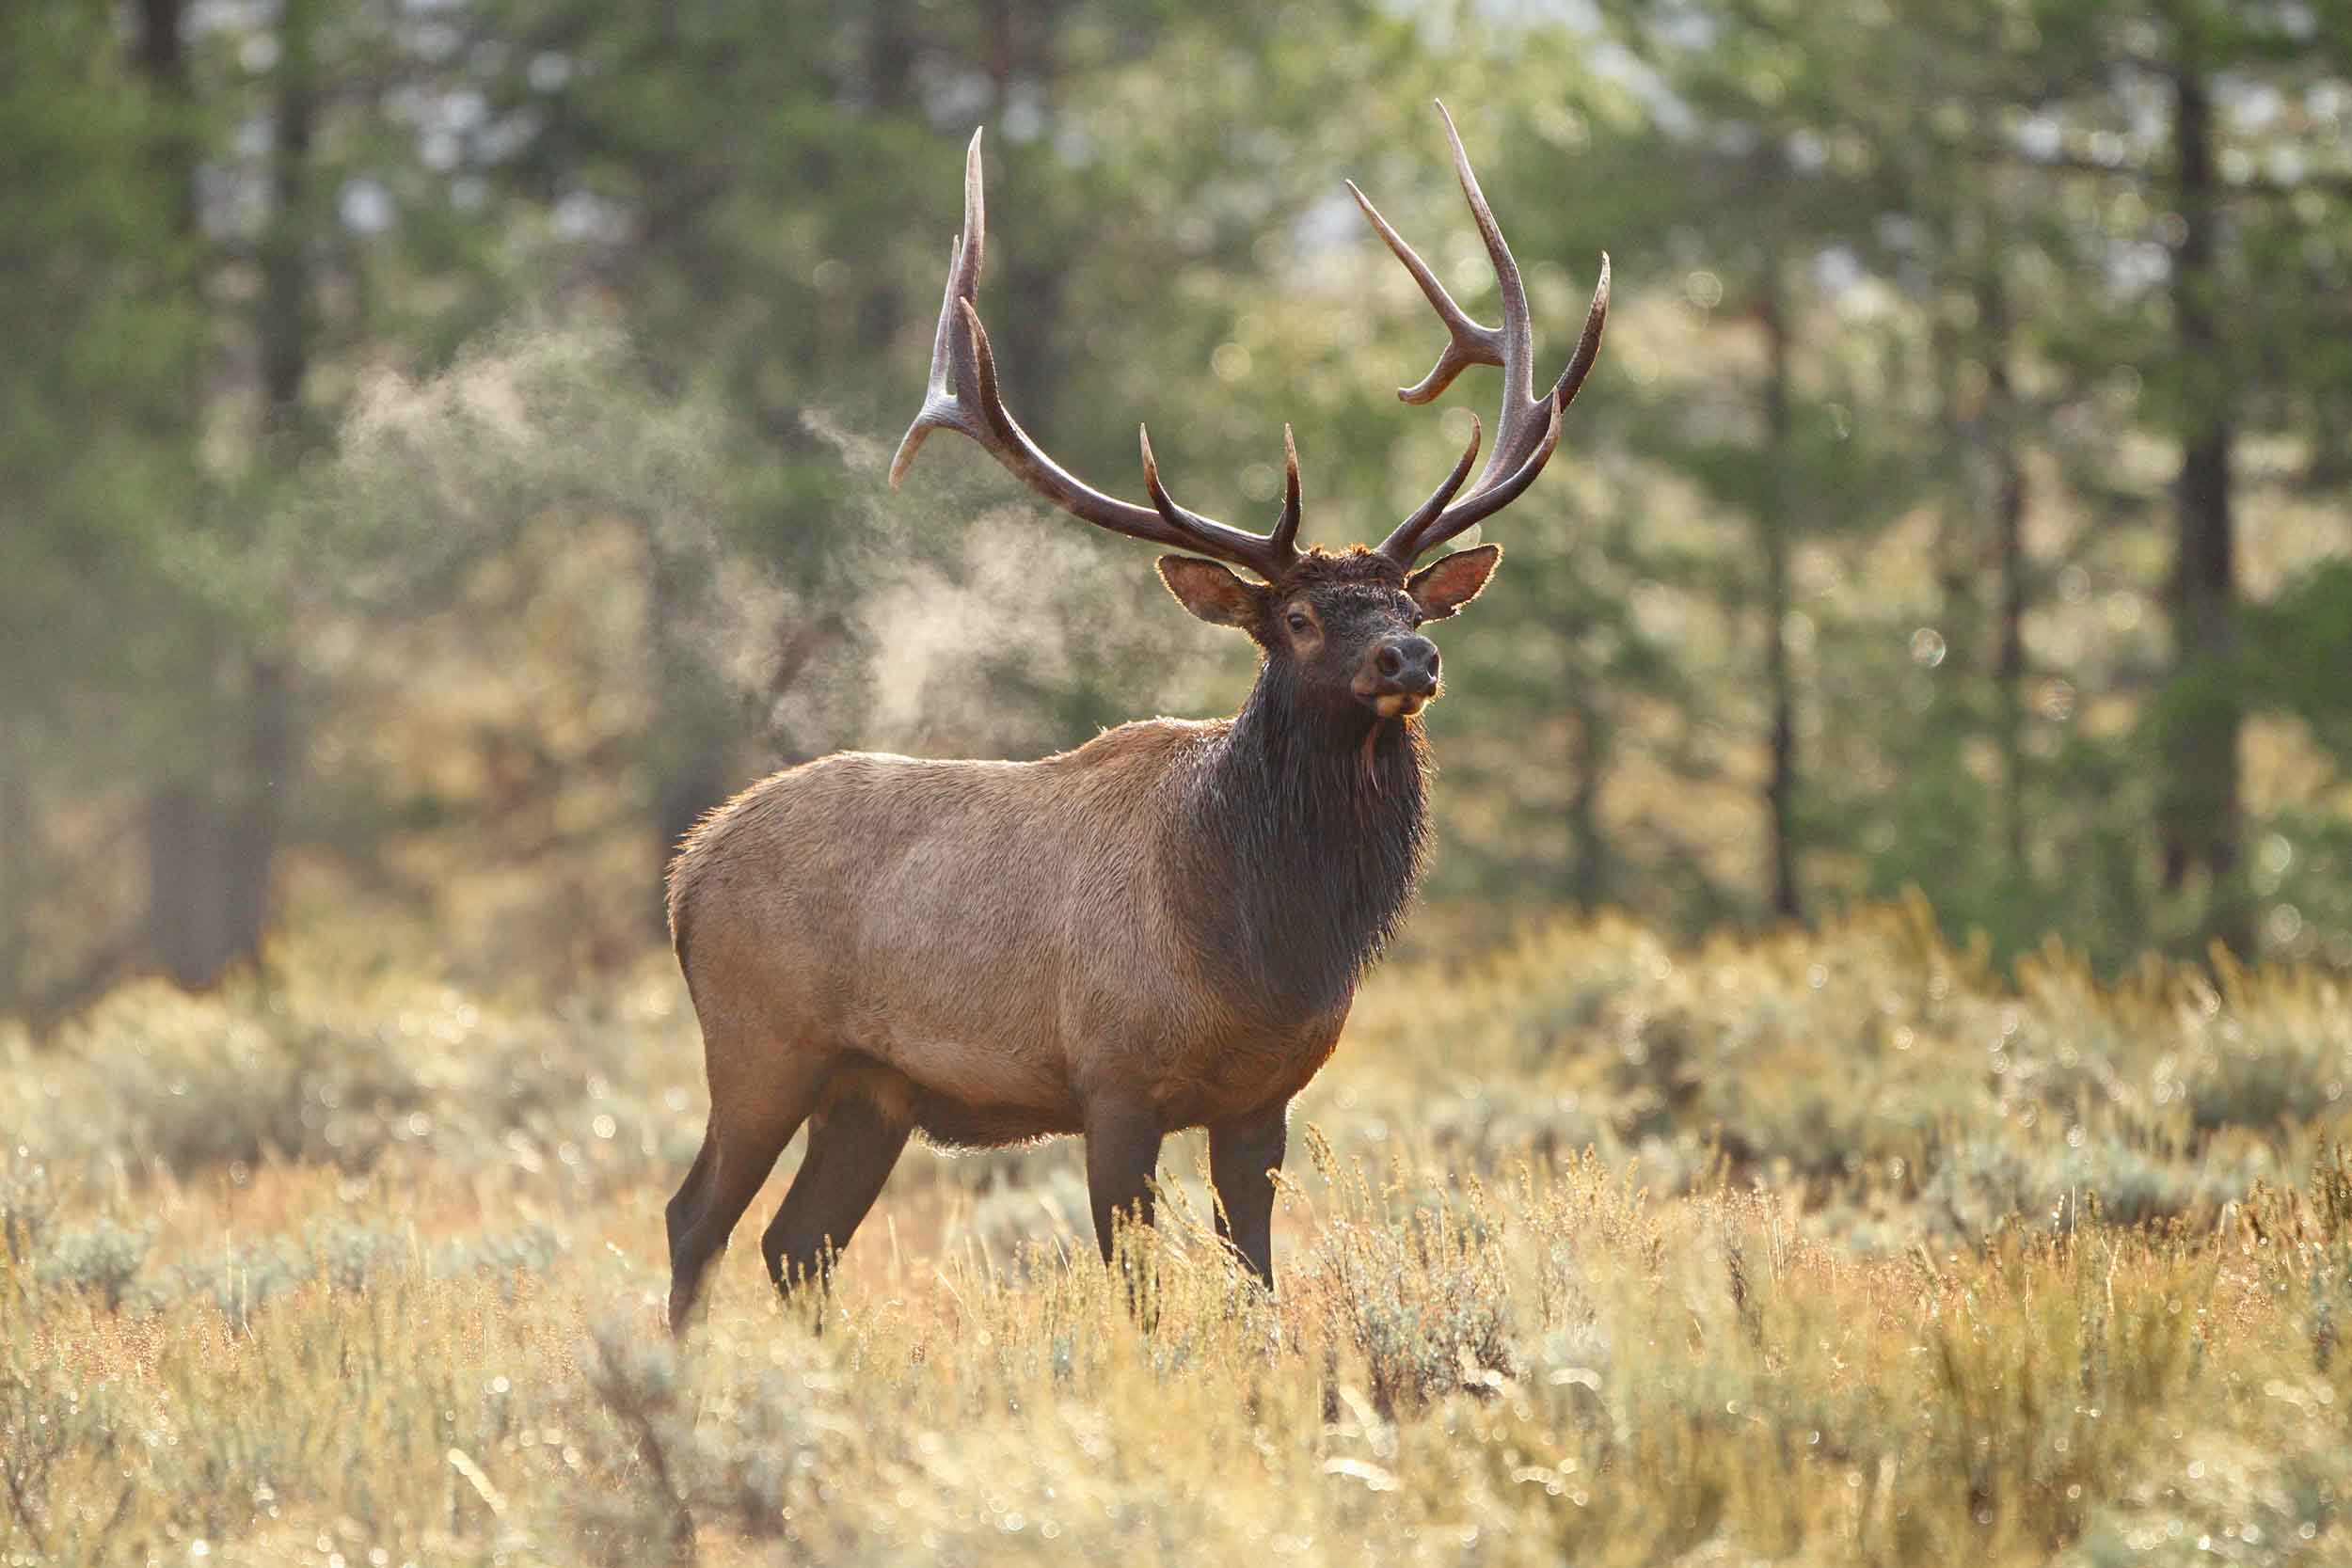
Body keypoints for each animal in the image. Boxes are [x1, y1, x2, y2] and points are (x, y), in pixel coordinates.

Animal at [662, 103, 1607, 1330]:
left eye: (1407, 599)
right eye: (1297, 615)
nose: (1411, 654)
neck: (1264, 945)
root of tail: (686, 870)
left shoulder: (1263, 1097)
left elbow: (1256, 1275)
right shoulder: (1111, 1078)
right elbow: (1137, 1285)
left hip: (872, 1087)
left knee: (796, 1242)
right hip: (761, 1042)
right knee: (699, 1218)